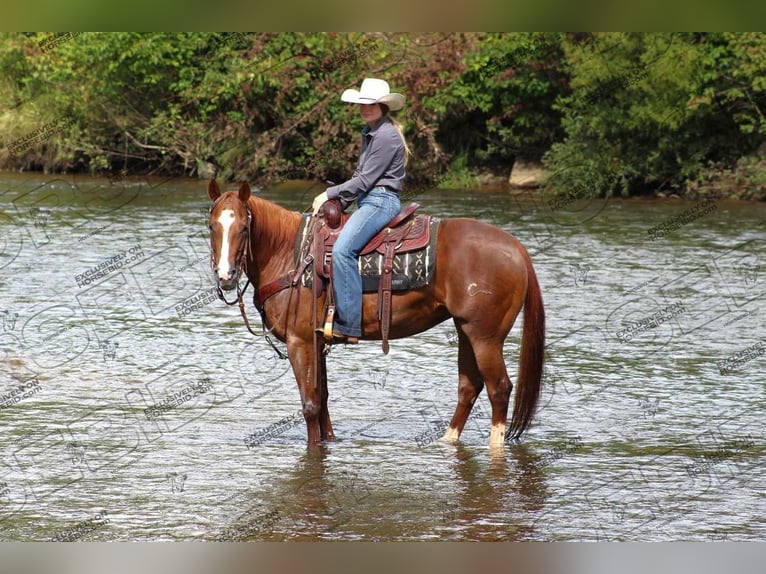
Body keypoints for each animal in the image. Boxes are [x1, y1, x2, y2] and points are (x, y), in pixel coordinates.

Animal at [207, 180, 548, 450]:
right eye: (212, 227)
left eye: (244, 227)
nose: (226, 276)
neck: (289, 254)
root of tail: (517, 248)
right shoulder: (318, 343)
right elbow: (324, 400)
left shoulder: (299, 342)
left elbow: (310, 405)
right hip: (465, 331)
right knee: (468, 387)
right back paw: (446, 440)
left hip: (486, 337)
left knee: (499, 388)